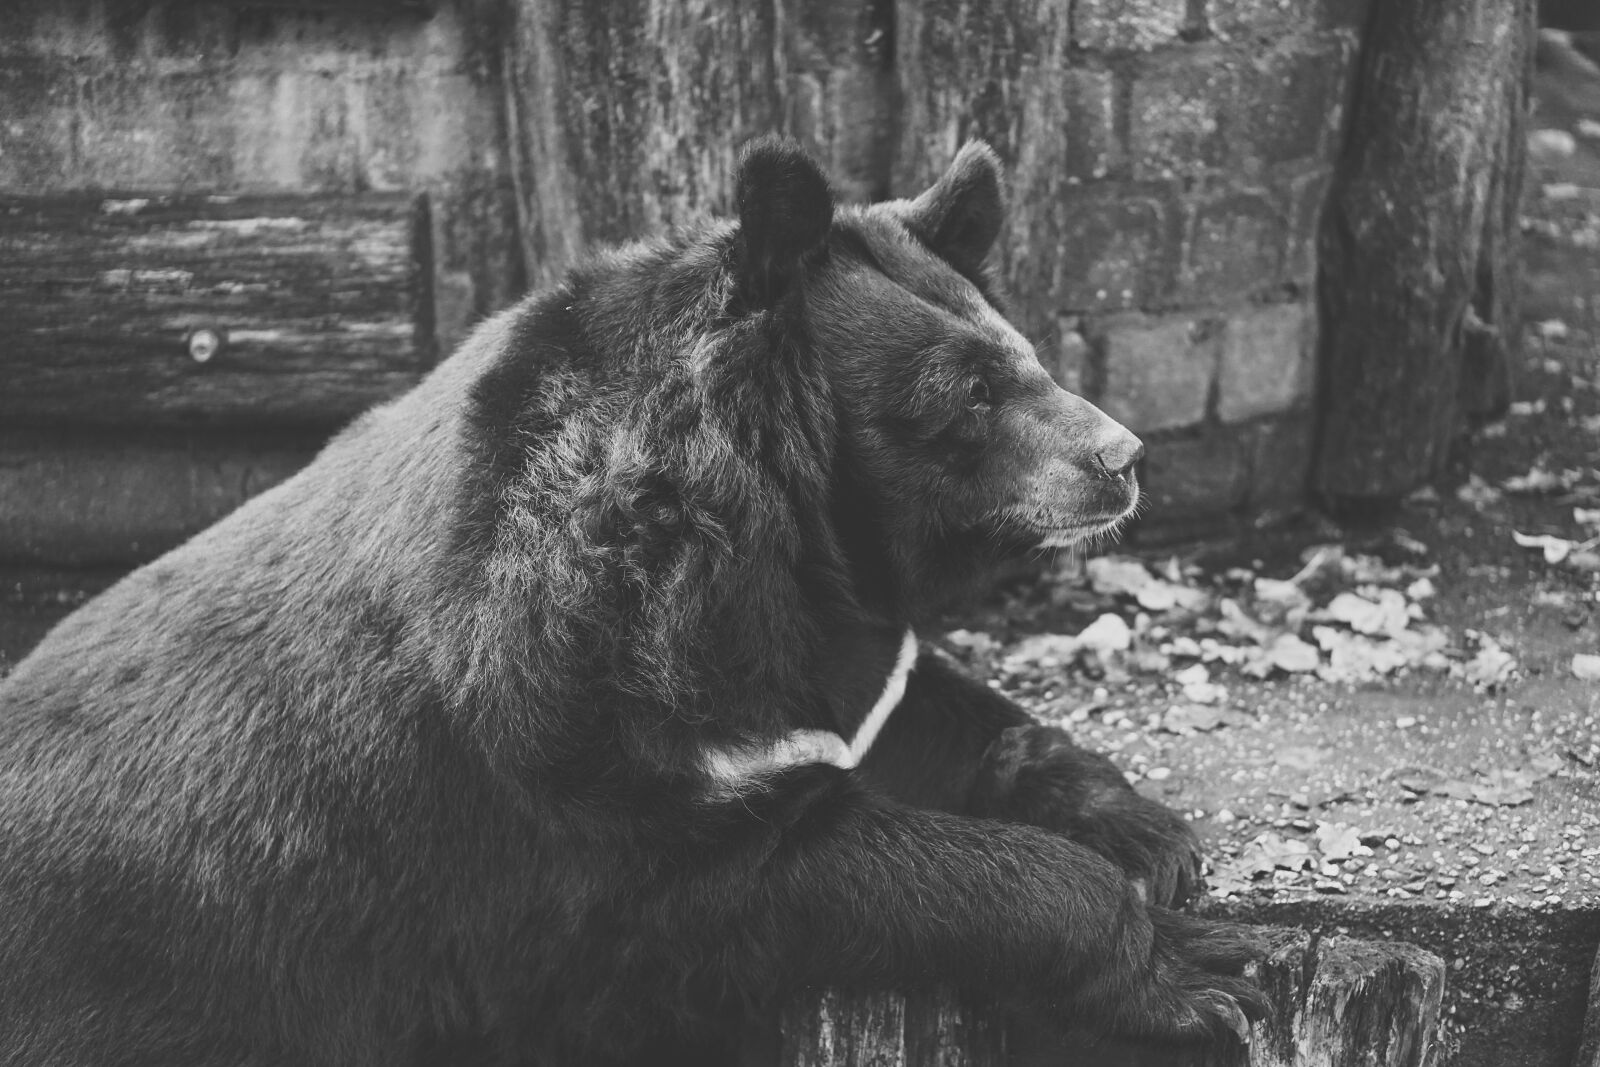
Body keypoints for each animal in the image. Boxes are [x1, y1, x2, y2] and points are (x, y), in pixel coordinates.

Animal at [0, 137, 1265, 1066]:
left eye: (1026, 354)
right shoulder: (570, 745)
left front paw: (1153, 838)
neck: (761, 534)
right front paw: (1197, 968)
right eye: (966, 390)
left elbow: (920, 709)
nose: (1122, 456)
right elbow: (762, 871)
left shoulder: (823, 625)